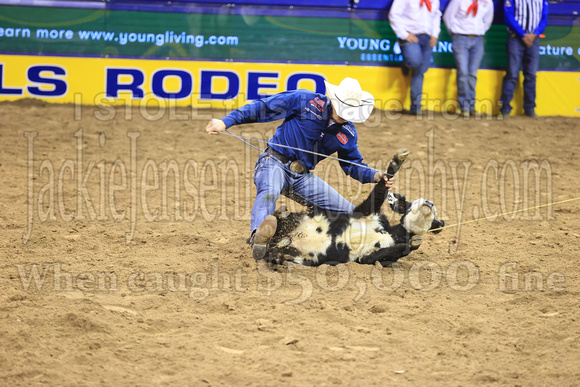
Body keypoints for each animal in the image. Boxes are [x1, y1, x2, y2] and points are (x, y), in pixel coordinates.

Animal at [258, 149, 444, 266]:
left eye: (435, 214)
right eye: (413, 203)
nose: (429, 203)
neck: (392, 233)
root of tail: (283, 240)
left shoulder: (368, 257)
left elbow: (391, 252)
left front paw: (414, 242)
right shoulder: (366, 211)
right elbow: (379, 191)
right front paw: (397, 161)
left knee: (273, 254)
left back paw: (282, 258)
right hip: (297, 218)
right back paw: (276, 219)